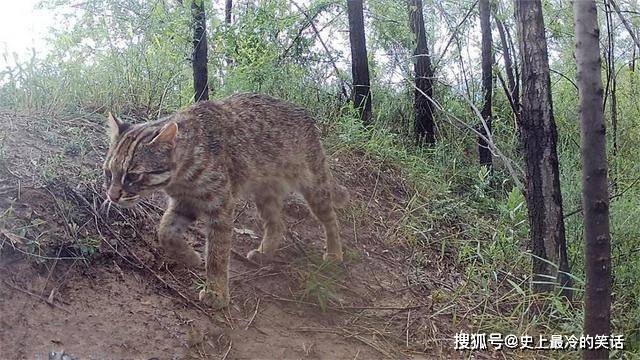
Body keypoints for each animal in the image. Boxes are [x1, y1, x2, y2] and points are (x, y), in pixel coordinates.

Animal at [103, 93, 348, 310]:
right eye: (108, 172)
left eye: (133, 175)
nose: (112, 196)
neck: (180, 175)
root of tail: (304, 113)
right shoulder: (184, 203)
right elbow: (165, 232)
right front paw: (190, 257)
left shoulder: (219, 206)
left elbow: (217, 254)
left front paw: (217, 292)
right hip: (265, 193)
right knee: (277, 223)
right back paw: (265, 252)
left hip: (314, 185)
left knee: (331, 219)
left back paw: (334, 254)